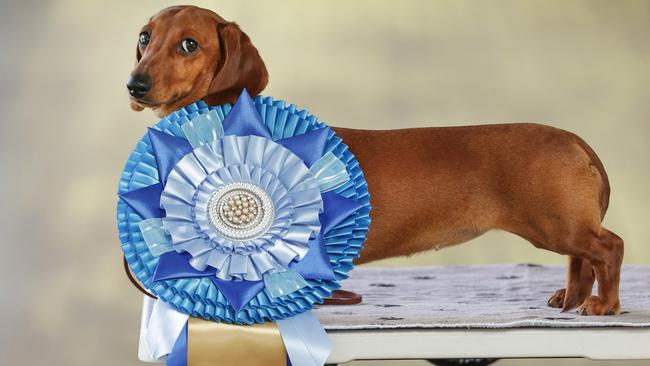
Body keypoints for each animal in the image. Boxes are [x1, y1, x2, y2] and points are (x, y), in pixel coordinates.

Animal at [128, 5, 624, 316]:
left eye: (189, 45)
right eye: (145, 38)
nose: (135, 84)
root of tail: (575, 140)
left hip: (555, 224)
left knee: (608, 248)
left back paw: (604, 304)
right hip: (563, 225)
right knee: (582, 259)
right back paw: (572, 299)